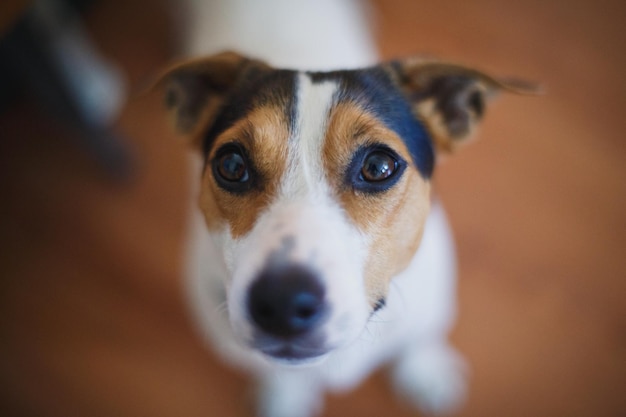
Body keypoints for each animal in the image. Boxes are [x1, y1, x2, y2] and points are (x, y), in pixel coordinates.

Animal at [154, 47, 532, 414]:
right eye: (231, 165)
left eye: (378, 166)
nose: (283, 303)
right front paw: (285, 398)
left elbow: (418, 338)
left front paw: (423, 373)